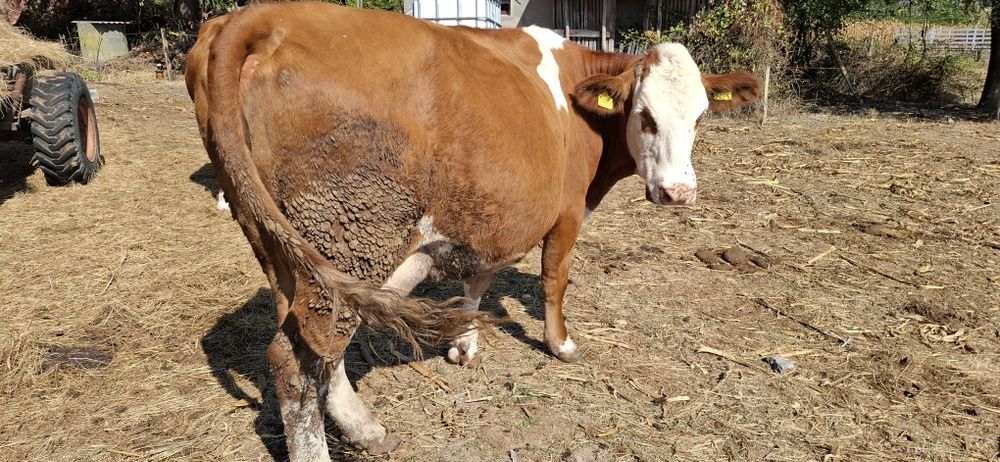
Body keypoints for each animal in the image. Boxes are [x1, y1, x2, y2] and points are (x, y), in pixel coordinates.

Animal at [186, 3, 760, 459]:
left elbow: (479, 278)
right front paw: (561, 345)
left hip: (283, 246)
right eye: (644, 116)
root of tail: (261, 16)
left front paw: (464, 343)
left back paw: (365, 427)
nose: (678, 192)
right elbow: (554, 280)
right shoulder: (568, 210)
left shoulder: (486, 215)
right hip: (348, 232)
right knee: (298, 360)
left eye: (701, 118)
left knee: (315, 344)